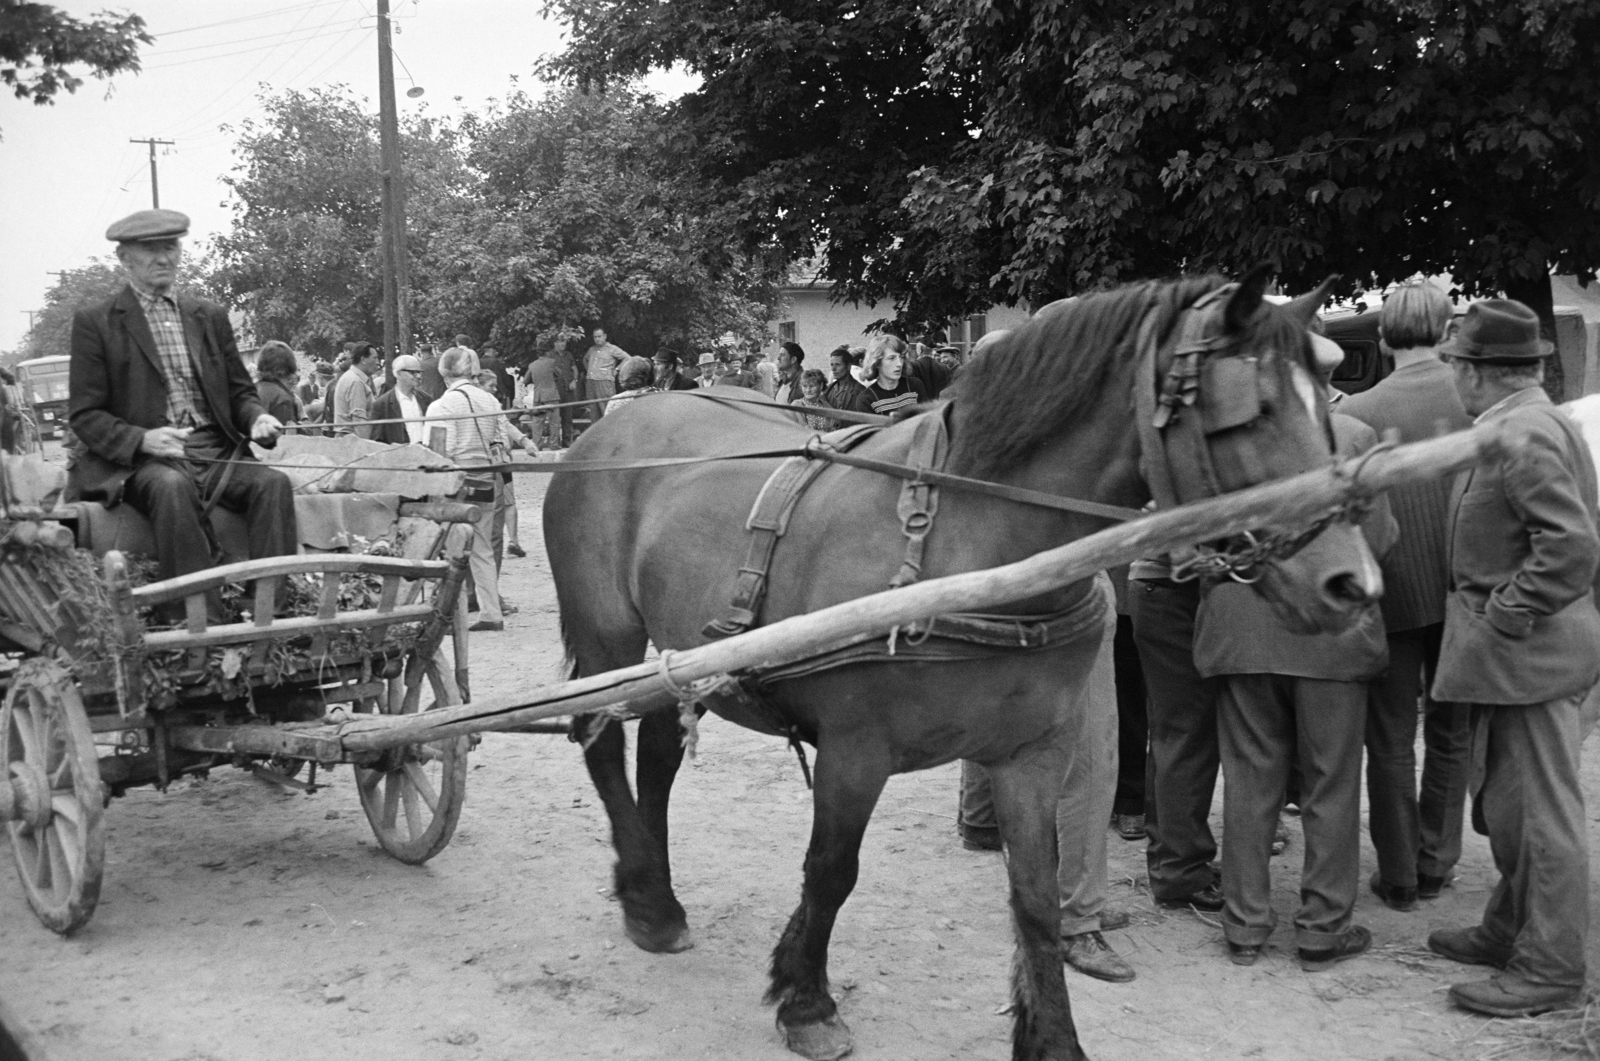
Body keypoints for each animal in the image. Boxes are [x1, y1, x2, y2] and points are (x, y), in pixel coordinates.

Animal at [547, 273, 1376, 1061]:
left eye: (1325, 401)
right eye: (1247, 411)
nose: (1354, 584)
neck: (972, 549)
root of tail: (610, 427)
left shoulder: (1032, 752)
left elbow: (1035, 896)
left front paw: (1053, 1037)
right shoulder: (854, 752)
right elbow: (831, 871)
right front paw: (807, 1001)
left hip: (678, 656)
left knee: (656, 756)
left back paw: (656, 896)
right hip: (607, 635)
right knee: (601, 739)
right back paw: (649, 903)